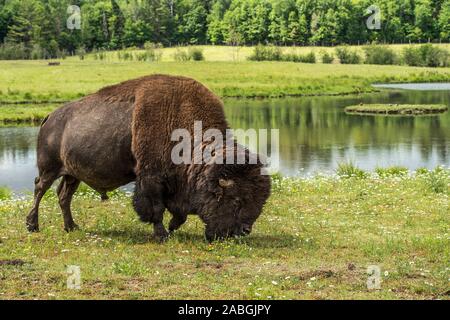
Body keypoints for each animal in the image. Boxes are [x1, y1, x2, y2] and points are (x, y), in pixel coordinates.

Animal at [27, 74, 270, 240]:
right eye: (236, 199)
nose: (244, 231)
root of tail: (49, 117)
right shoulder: (151, 178)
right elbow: (155, 207)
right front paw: (162, 234)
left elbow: (177, 212)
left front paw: (172, 227)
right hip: (49, 168)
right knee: (40, 189)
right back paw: (32, 225)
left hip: (72, 174)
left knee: (63, 196)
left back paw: (71, 227)